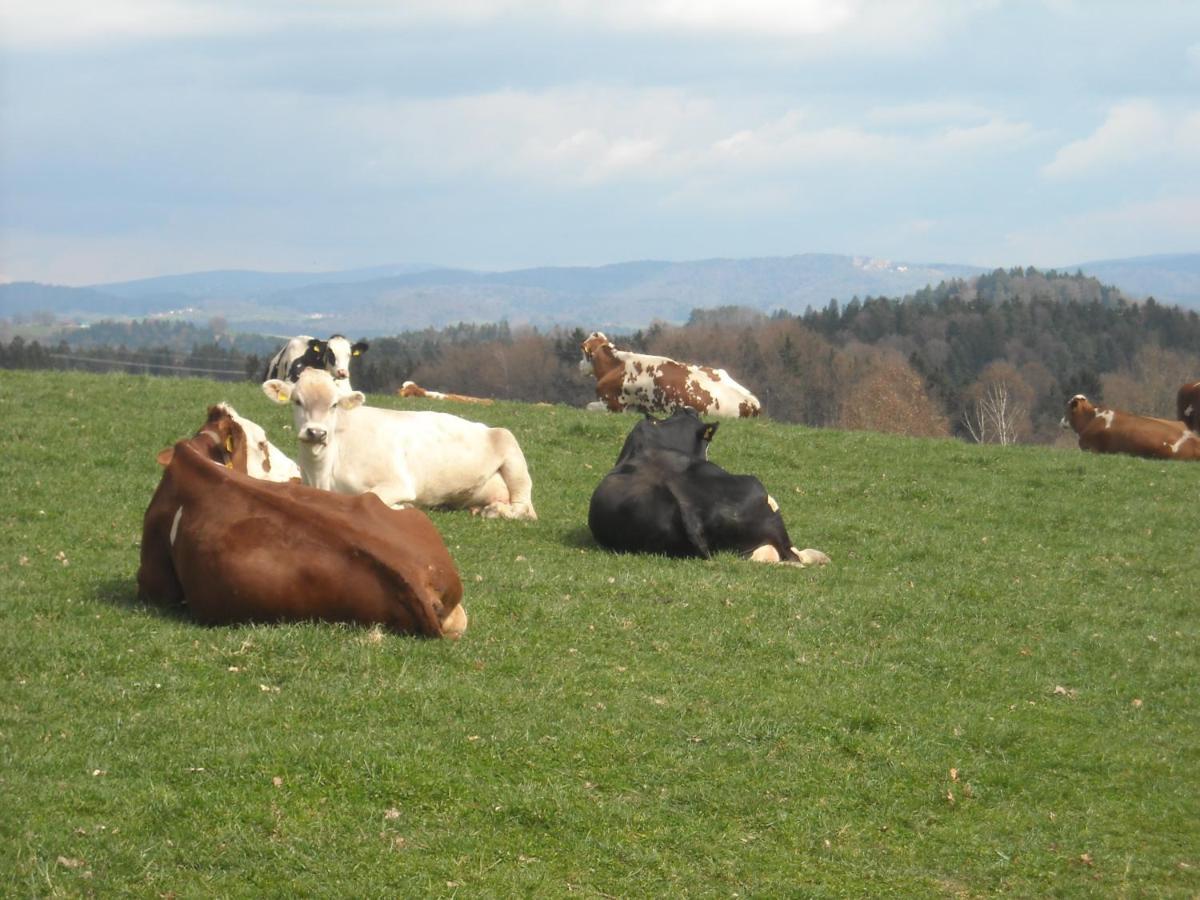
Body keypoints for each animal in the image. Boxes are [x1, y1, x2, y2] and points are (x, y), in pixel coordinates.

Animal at [268, 367, 544, 520]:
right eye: (297, 401)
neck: (322, 473)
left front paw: (402, 506)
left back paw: (497, 511)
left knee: (526, 510)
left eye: (334, 404)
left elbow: (370, 497)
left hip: (510, 449)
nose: (316, 432)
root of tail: (486, 427)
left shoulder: (397, 482)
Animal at [578, 333, 758, 422]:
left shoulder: (613, 405)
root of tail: (753, 402)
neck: (616, 365)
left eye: (583, 353)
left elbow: (587, 406)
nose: (579, 365)